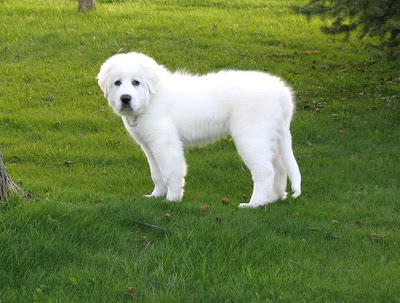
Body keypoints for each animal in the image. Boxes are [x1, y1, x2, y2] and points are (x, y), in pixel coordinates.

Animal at [98, 52, 302, 209]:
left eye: (136, 83)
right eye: (117, 83)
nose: (125, 98)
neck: (151, 98)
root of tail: (282, 92)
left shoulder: (165, 143)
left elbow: (170, 172)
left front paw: (172, 199)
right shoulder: (149, 145)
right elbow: (156, 173)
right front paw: (155, 195)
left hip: (251, 137)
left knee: (266, 172)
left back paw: (254, 204)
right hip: (269, 138)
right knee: (280, 169)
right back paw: (273, 199)